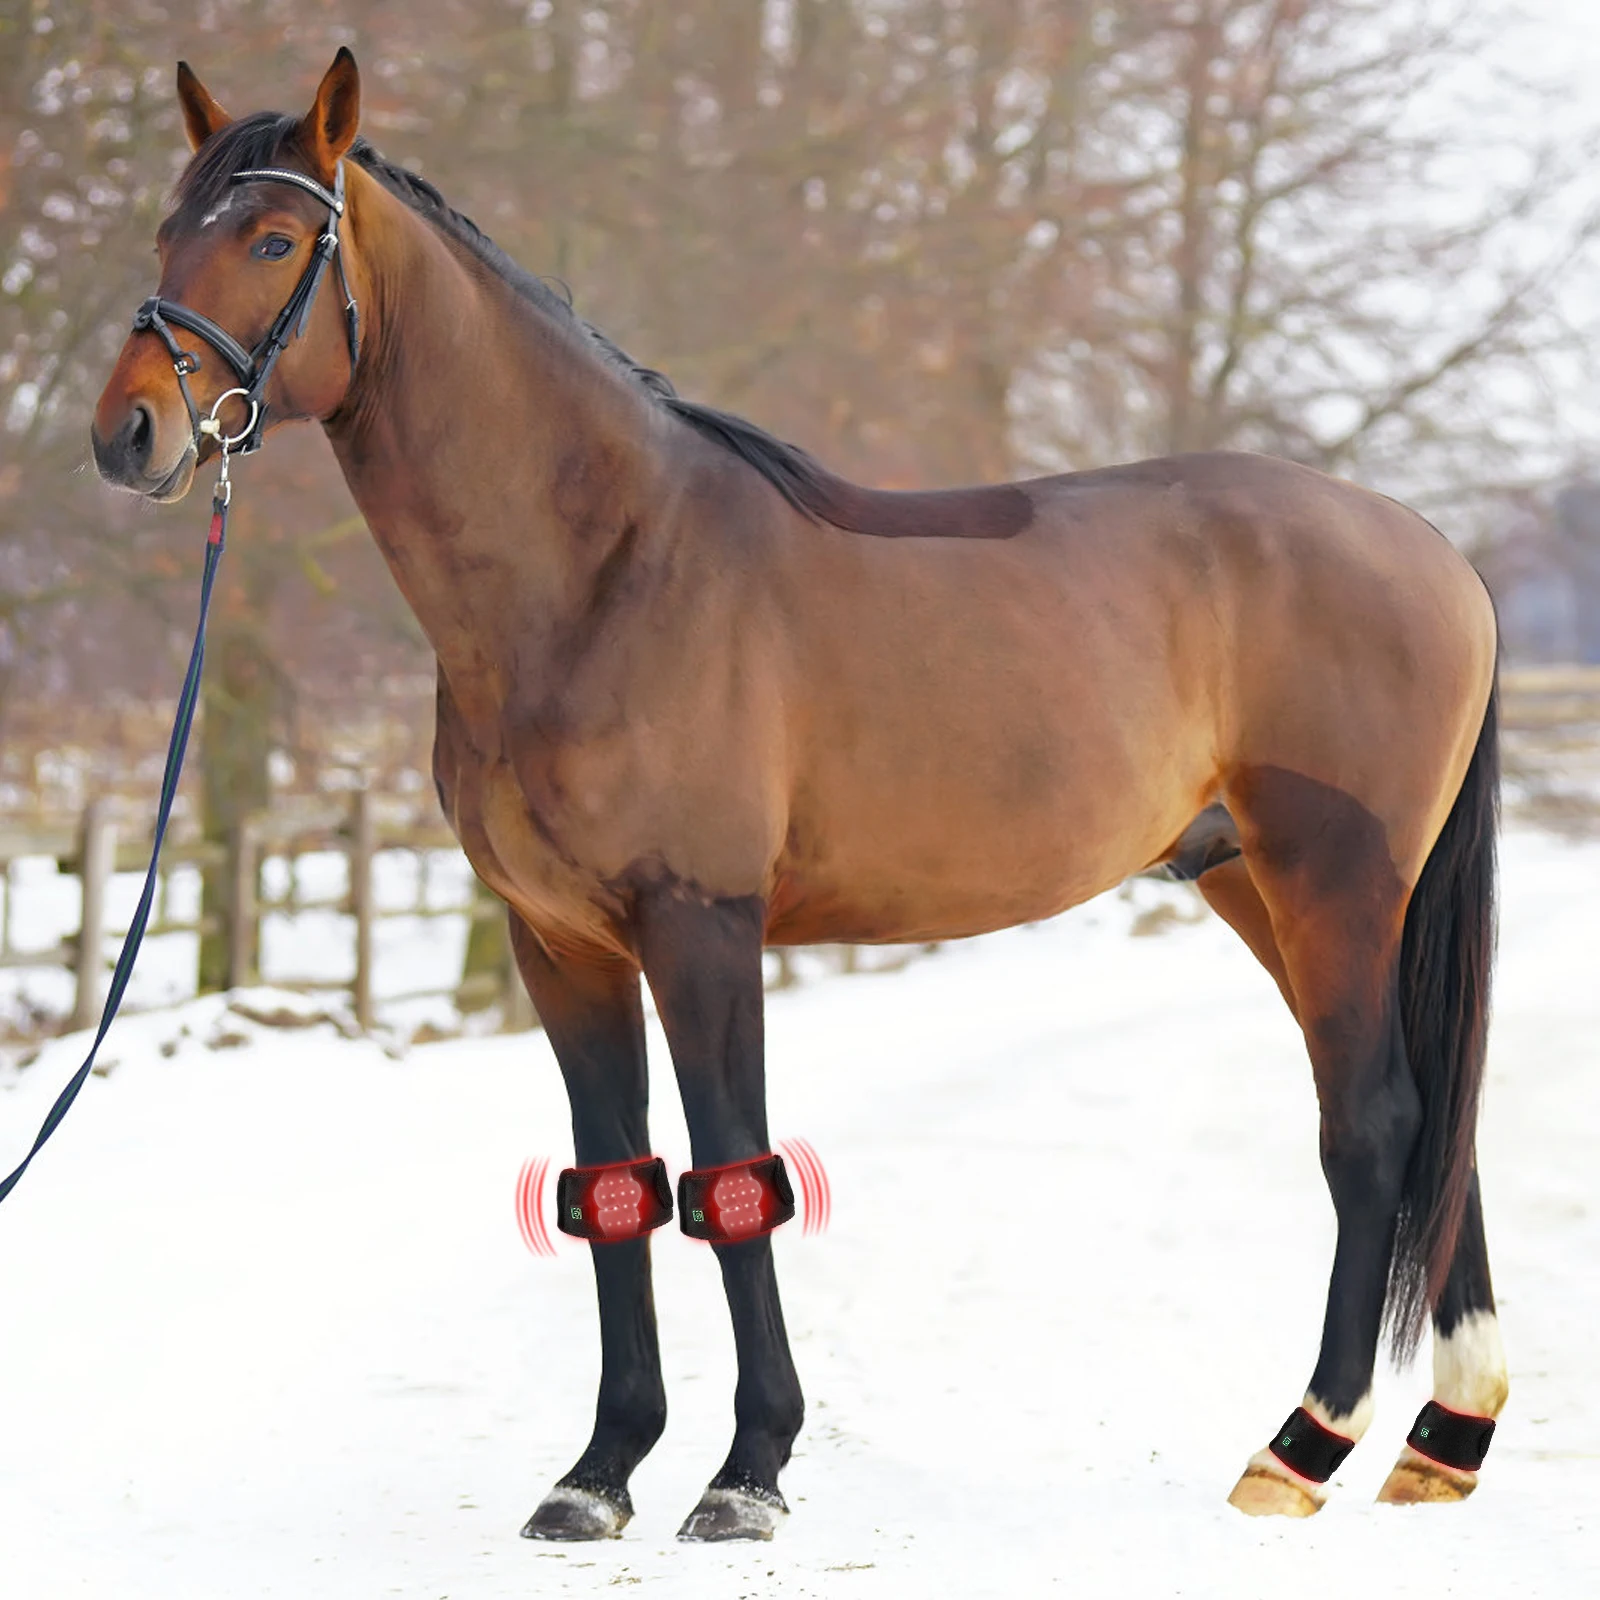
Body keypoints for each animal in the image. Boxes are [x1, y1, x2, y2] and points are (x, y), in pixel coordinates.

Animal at [91, 51, 1507, 1540]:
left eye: (272, 240)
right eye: (167, 230)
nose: (128, 431)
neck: (603, 570)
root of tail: (1434, 552)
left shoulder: (701, 924)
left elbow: (728, 1178)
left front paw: (747, 1468)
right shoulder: (560, 946)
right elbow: (614, 1187)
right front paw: (597, 1472)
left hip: (1331, 884)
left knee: (1376, 1122)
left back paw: (1303, 1445)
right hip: (1268, 889)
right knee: (1432, 1118)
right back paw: (1442, 1440)